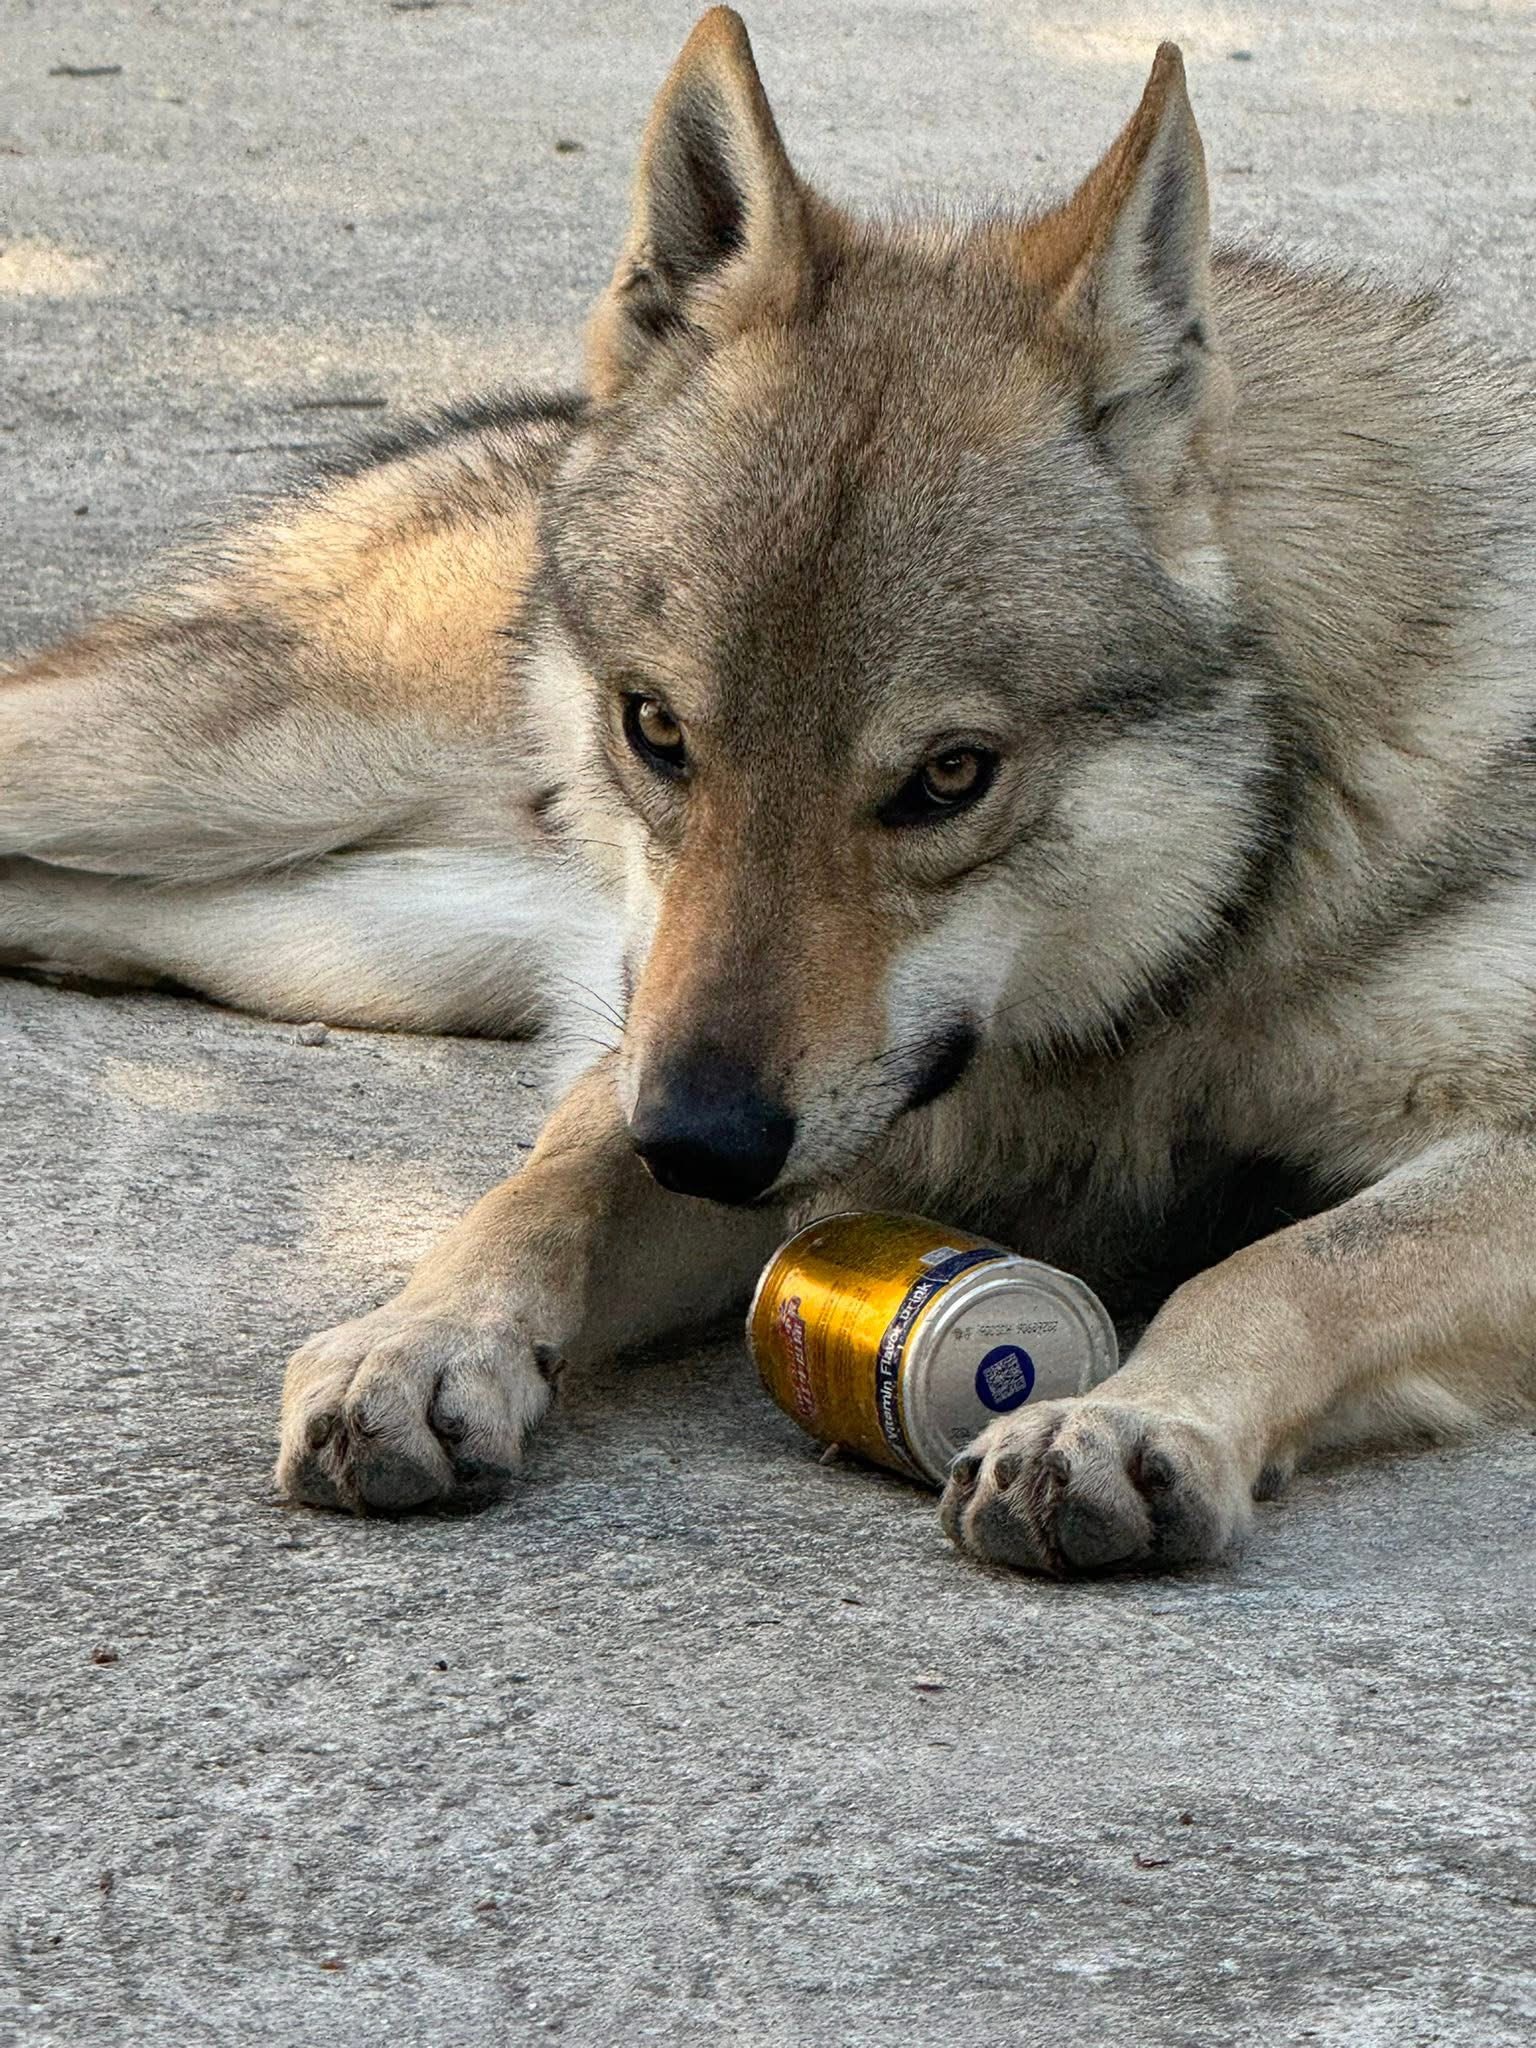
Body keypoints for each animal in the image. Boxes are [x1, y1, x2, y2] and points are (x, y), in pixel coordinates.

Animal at [4, 10, 1535, 1575]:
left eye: (949, 776)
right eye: (657, 728)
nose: (698, 1139)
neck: (1177, 971)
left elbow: (1279, 1267)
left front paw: (1128, 1420)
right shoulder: (716, 1092)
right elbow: (542, 1189)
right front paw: (418, 1342)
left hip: (344, 936)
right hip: (202, 786)